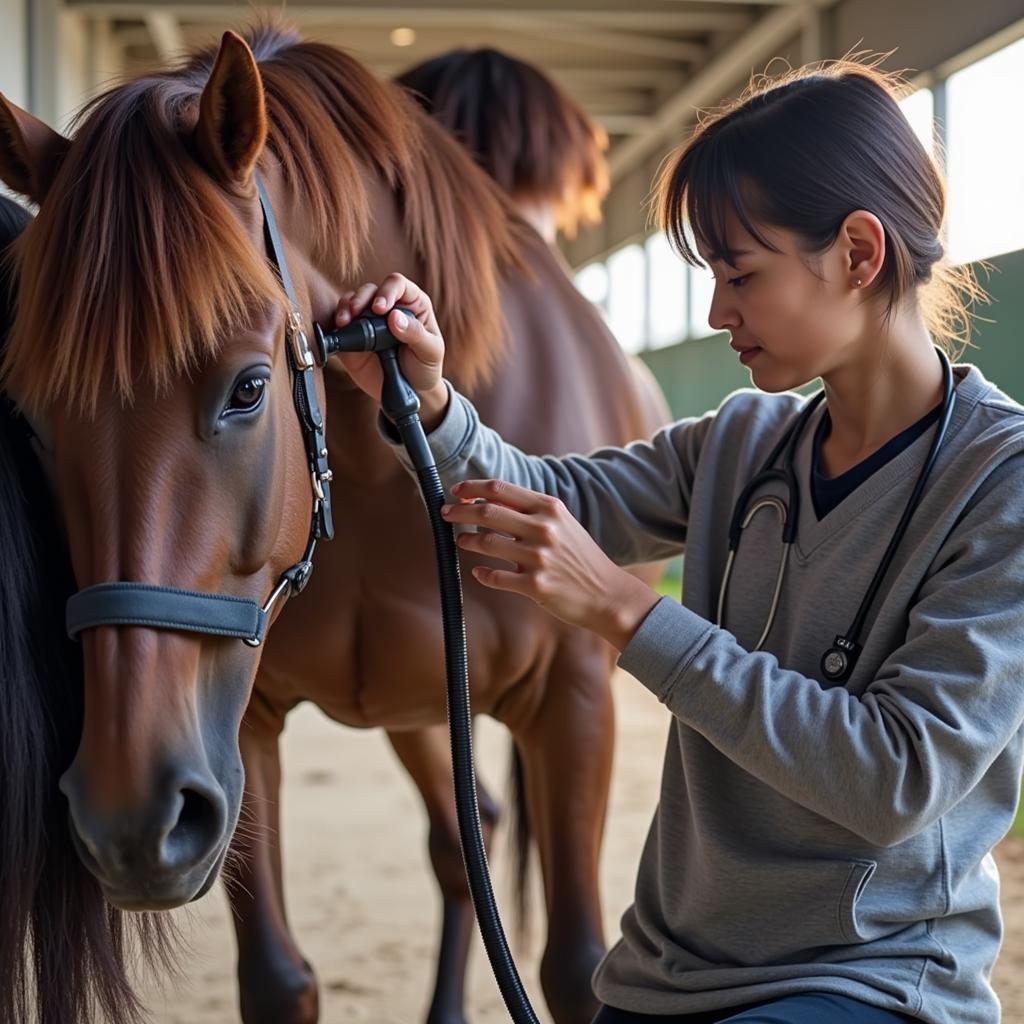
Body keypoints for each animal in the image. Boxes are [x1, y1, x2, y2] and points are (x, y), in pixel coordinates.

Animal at [0, 22, 667, 1024]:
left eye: (248, 387)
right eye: (33, 420)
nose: (128, 819)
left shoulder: (577, 700)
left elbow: (576, 968)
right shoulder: (239, 728)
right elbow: (280, 979)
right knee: (461, 844)